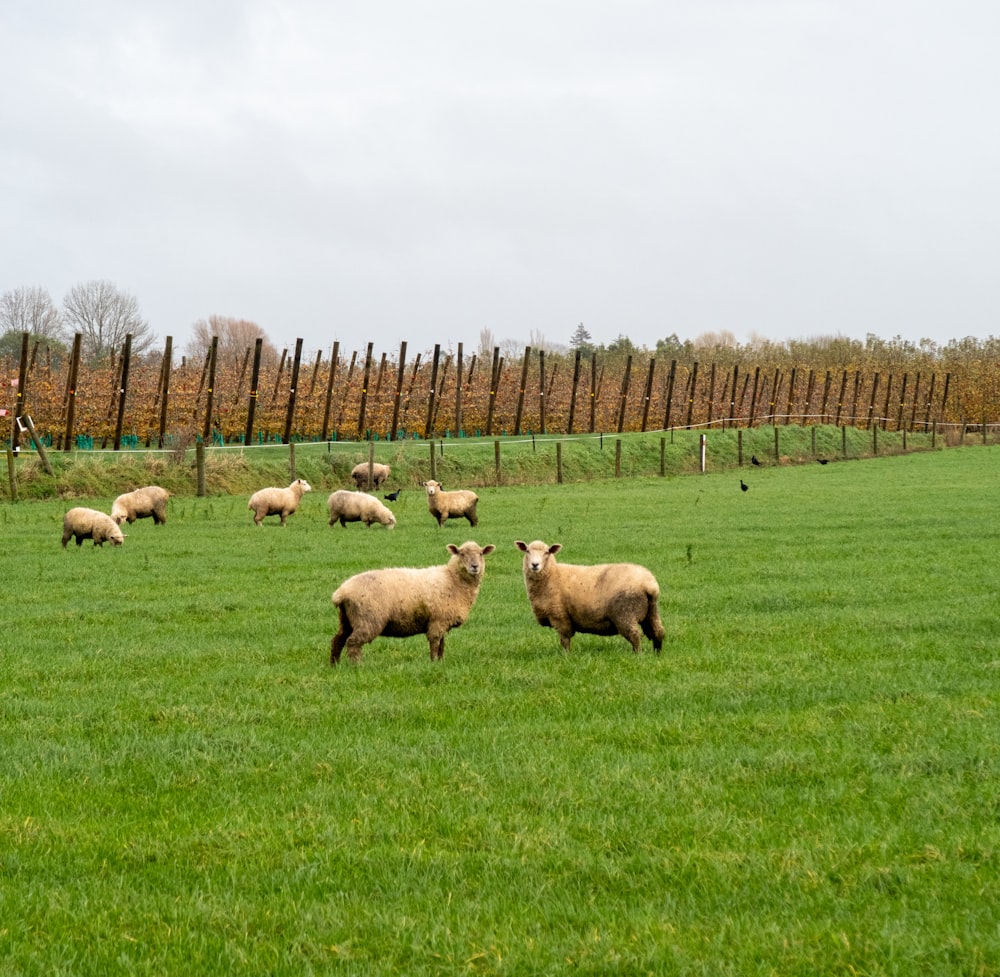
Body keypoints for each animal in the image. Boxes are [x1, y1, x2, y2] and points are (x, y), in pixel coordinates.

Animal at [330, 536, 498, 668]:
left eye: (481, 554)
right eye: (462, 553)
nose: (475, 567)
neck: (452, 579)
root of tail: (341, 592)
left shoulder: (443, 620)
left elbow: (442, 645)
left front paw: (441, 662)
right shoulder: (437, 621)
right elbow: (435, 643)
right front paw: (434, 663)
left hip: (347, 619)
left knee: (338, 640)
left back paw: (334, 665)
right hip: (368, 619)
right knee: (353, 643)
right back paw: (357, 666)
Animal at [516, 540, 664, 656]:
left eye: (547, 552)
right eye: (527, 551)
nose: (535, 565)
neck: (551, 574)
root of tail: (649, 584)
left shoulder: (559, 616)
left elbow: (565, 639)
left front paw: (566, 656)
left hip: (625, 613)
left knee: (635, 635)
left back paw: (637, 655)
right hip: (651, 611)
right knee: (658, 632)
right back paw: (657, 654)